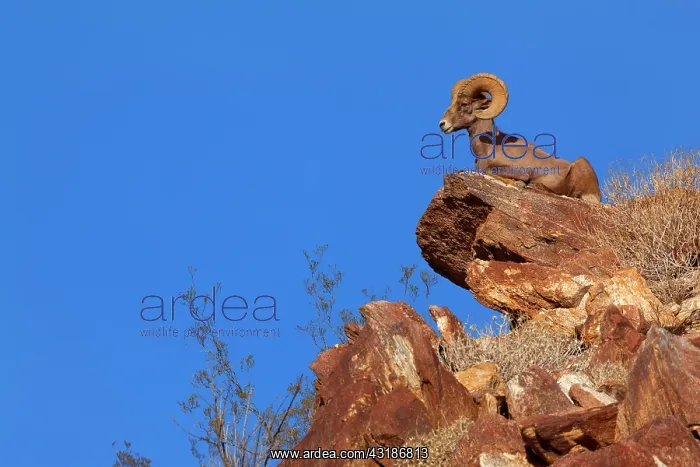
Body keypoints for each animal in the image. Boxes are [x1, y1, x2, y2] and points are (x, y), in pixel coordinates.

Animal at [438, 73, 602, 203]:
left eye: (464, 104)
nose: (442, 124)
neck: (490, 147)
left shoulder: (518, 171)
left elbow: (491, 171)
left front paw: (519, 183)